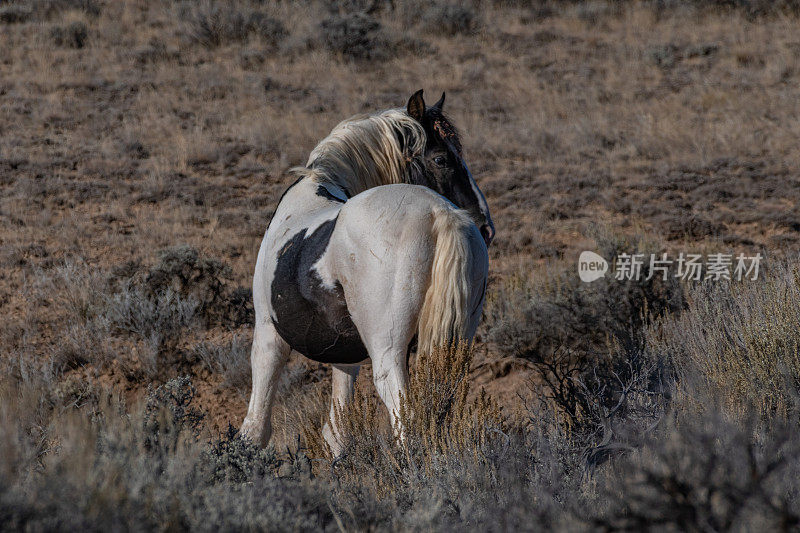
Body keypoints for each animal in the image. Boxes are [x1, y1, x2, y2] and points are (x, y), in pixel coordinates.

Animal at [239, 90, 494, 454]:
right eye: (442, 158)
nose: (486, 227)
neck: (316, 187)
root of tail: (440, 214)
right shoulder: (346, 353)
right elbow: (337, 431)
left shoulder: (268, 335)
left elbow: (255, 427)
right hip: (454, 346)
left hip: (388, 353)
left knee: (405, 421)